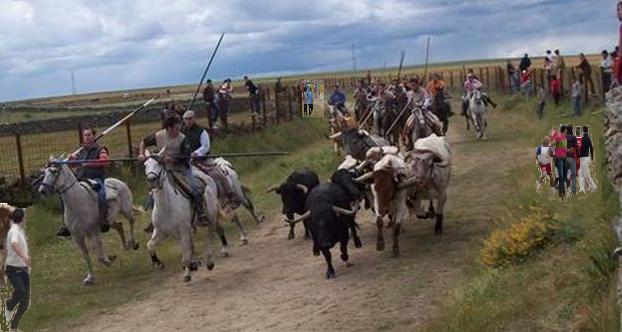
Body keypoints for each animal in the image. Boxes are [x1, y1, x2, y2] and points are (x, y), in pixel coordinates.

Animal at [40, 156, 140, 286]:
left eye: (54, 171)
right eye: (45, 172)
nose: (42, 190)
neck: (78, 202)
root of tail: (119, 182)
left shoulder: (94, 231)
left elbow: (100, 257)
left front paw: (109, 260)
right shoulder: (77, 237)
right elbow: (86, 256)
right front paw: (90, 278)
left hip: (125, 210)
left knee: (132, 220)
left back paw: (133, 243)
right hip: (109, 221)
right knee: (119, 226)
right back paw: (126, 246)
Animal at [144, 150, 222, 282]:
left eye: (159, 163)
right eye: (145, 165)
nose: (151, 179)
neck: (167, 206)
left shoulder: (184, 230)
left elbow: (186, 254)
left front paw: (188, 272)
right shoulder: (161, 232)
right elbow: (150, 245)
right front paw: (157, 263)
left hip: (210, 218)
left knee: (210, 236)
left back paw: (209, 261)